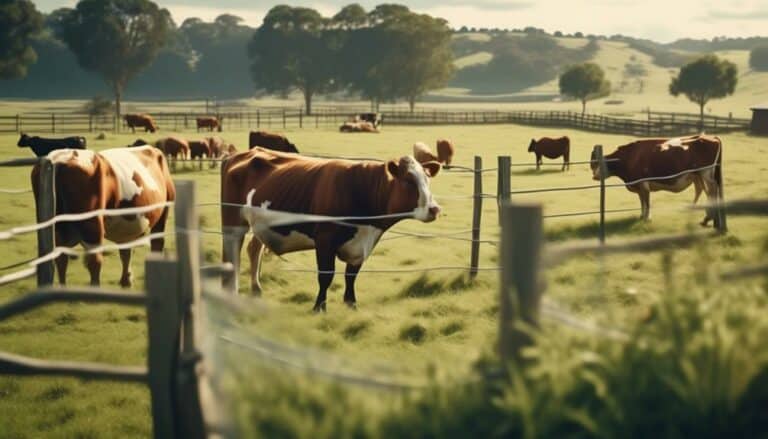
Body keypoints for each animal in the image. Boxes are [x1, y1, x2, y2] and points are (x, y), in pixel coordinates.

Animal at [32, 146, 175, 288]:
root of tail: (60, 160)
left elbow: (125, 251)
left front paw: (126, 280)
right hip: (93, 226)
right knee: (95, 261)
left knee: (62, 259)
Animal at [592, 135, 724, 227]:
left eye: (597, 163)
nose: (594, 176)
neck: (630, 156)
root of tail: (711, 137)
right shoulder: (639, 185)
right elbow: (642, 201)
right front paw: (641, 216)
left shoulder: (643, 183)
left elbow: (646, 201)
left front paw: (647, 218)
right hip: (698, 175)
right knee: (702, 190)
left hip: (706, 173)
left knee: (712, 191)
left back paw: (707, 218)